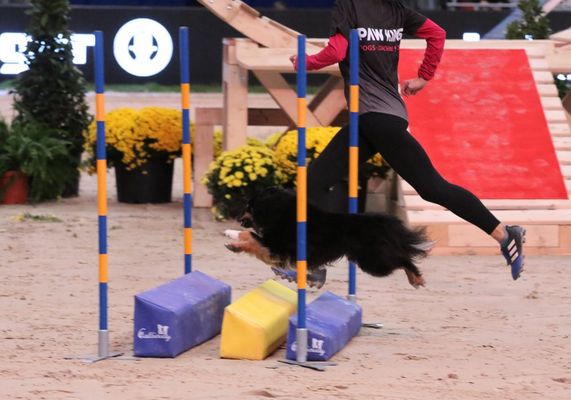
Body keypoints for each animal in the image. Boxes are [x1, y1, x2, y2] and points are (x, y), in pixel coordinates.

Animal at [224, 187, 431, 288]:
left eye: (249, 205)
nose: (237, 218)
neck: (282, 210)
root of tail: (383, 222)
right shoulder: (275, 251)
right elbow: (252, 241)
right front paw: (233, 242)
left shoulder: (275, 246)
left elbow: (250, 236)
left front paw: (231, 237)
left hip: (373, 262)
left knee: (403, 260)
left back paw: (416, 278)